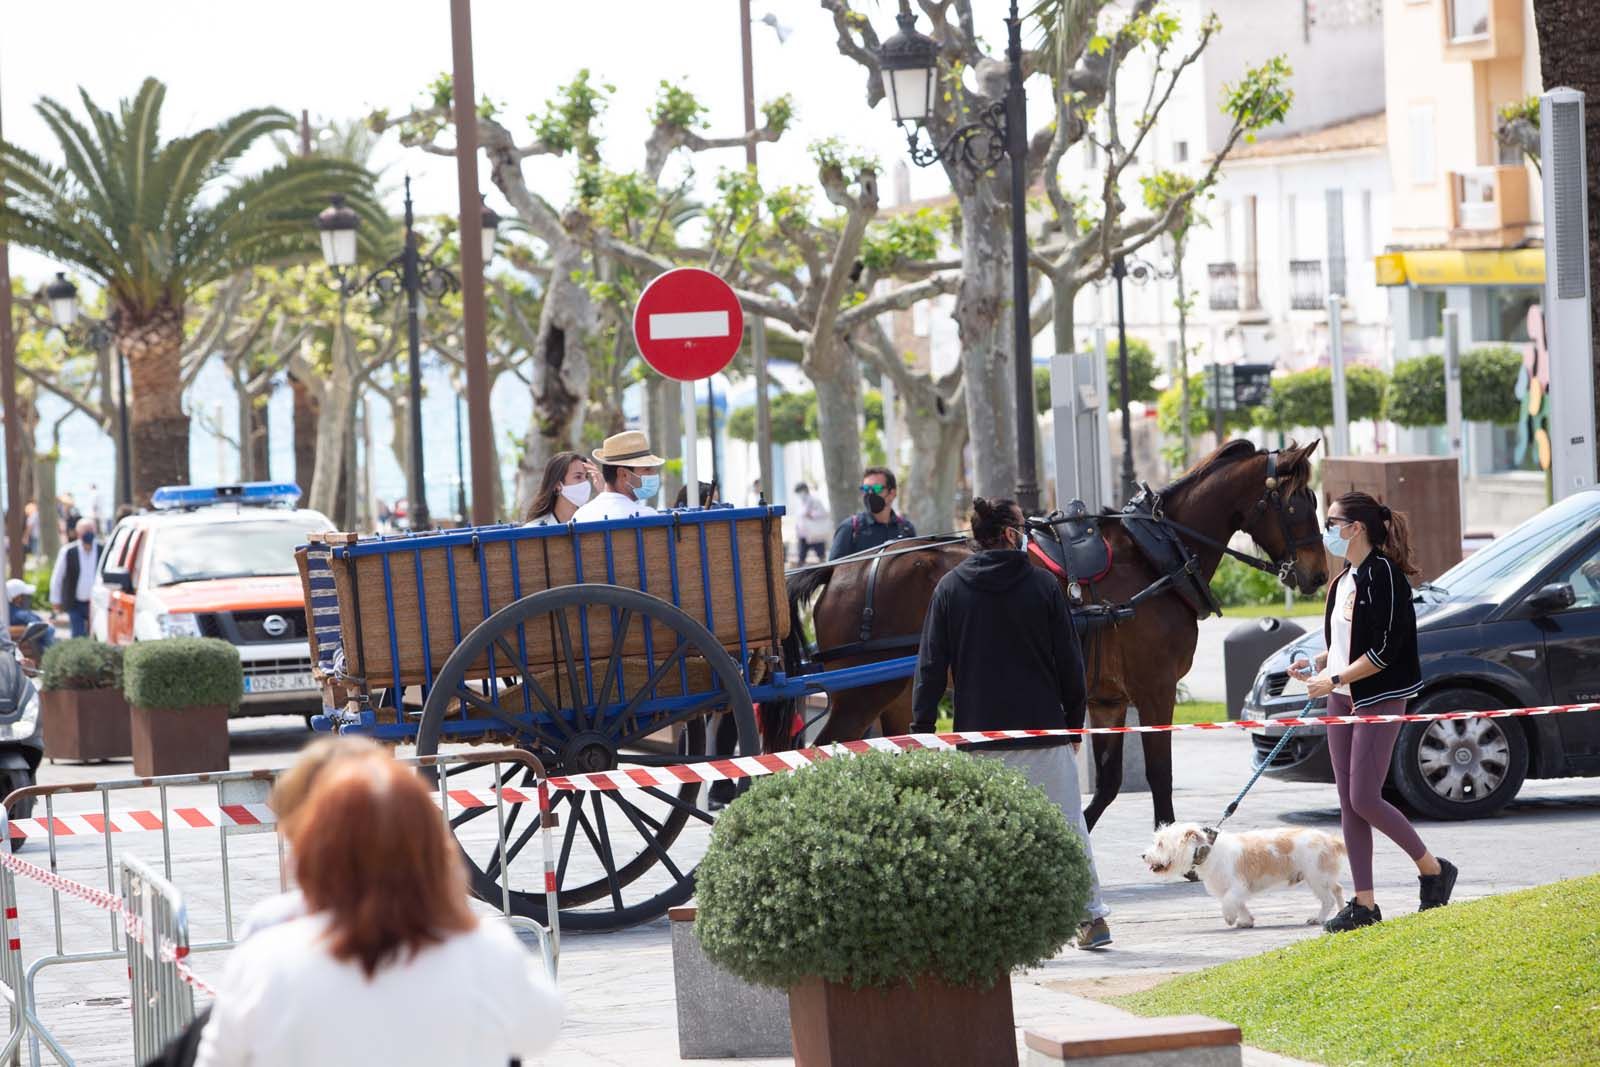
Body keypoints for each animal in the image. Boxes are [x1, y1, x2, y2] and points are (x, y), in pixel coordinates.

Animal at [768, 438, 1331, 831]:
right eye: (1300, 503)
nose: (1319, 574)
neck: (1155, 553)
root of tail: (843, 568)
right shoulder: (1154, 690)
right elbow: (1158, 775)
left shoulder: (1107, 699)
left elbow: (1107, 784)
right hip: (862, 693)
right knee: (817, 757)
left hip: (900, 694)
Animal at [1145, 825, 1344, 927]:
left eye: (1161, 844)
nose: (1143, 855)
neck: (1208, 851)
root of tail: (1330, 839)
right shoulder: (1232, 889)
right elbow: (1238, 904)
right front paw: (1246, 920)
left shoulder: (1237, 886)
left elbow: (1228, 902)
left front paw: (1230, 918)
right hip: (1325, 878)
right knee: (1338, 890)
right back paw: (1341, 911)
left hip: (1317, 878)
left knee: (1328, 899)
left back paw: (1319, 919)